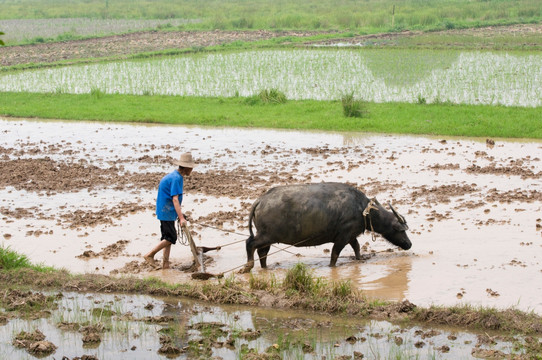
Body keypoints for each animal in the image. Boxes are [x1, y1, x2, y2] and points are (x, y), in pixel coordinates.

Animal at [240, 183, 414, 272]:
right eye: (401, 230)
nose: (409, 244)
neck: (362, 210)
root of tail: (261, 200)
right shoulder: (343, 236)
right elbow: (335, 254)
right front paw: (331, 266)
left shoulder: (351, 235)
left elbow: (357, 247)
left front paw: (360, 259)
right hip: (266, 235)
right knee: (250, 243)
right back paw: (248, 266)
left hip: (268, 237)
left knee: (262, 252)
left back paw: (265, 268)